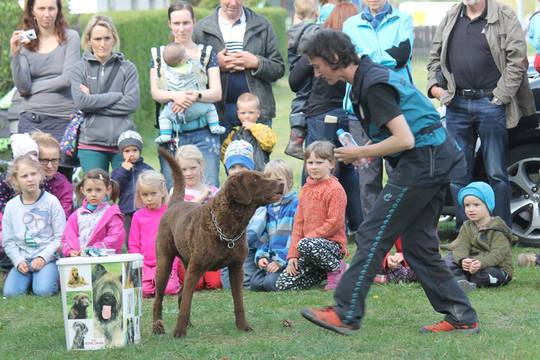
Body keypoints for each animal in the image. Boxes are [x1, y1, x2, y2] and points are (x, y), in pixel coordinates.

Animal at [152, 147, 282, 338]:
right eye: (256, 179)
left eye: (263, 175)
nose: (281, 183)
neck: (228, 227)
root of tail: (174, 204)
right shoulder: (196, 268)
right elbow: (186, 305)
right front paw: (179, 332)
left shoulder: (236, 268)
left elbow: (239, 303)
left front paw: (243, 326)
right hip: (165, 262)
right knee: (159, 299)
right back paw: (157, 327)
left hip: (188, 264)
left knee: (182, 294)